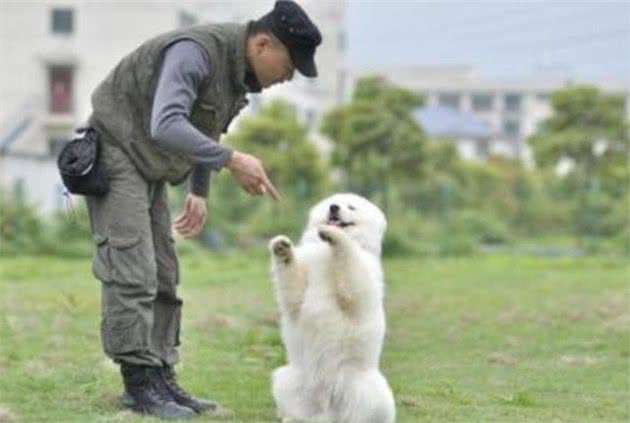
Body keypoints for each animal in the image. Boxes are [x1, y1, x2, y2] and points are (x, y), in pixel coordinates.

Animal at [266, 194, 396, 422]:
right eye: (331, 203)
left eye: (351, 207)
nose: (334, 208)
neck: (326, 254)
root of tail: (327, 411)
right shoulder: (303, 282)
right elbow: (293, 290)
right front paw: (281, 247)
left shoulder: (359, 281)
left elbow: (351, 268)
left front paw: (334, 234)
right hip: (289, 379)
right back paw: (292, 418)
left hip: (367, 388)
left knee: (361, 411)